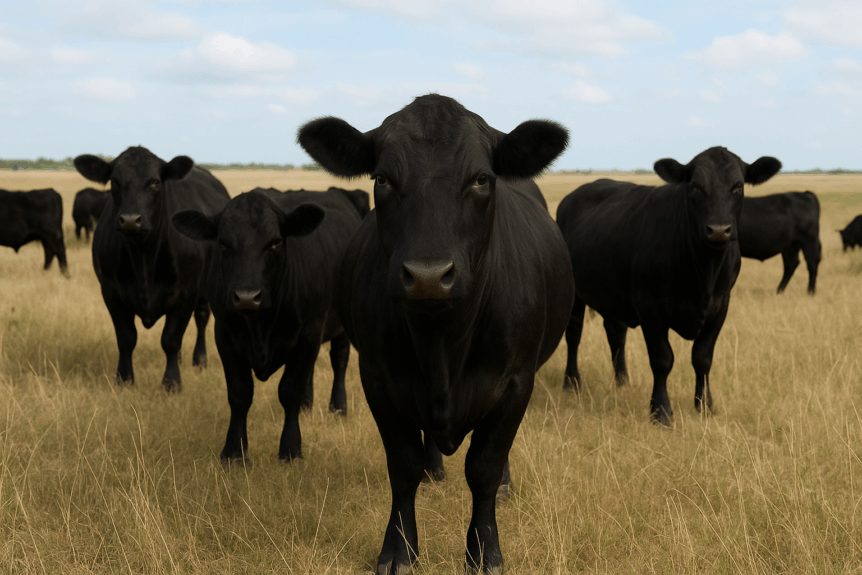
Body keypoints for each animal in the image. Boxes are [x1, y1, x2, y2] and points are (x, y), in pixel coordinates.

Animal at [74, 146, 230, 391]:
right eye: (115, 181)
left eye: (155, 182)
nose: (130, 220)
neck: (143, 257)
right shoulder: (111, 292)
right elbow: (126, 338)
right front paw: (124, 379)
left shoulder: (186, 293)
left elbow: (171, 339)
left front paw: (172, 383)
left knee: (202, 318)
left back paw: (199, 360)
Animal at [172, 187, 367, 461]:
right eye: (223, 243)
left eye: (275, 242)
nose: (247, 296)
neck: (260, 327)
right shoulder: (225, 336)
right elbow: (240, 393)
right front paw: (234, 452)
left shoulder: (309, 333)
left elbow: (290, 390)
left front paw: (290, 449)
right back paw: (308, 405)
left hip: (338, 328)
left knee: (339, 360)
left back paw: (338, 407)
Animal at [298, 94, 574, 574]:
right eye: (383, 178)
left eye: (481, 179)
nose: (428, 276)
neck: (443, 344)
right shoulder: (378, 377)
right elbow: (403, 466)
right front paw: (398, 550)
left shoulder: (516, 381)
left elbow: (484, 466)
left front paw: (484, 552)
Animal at [557, 147, 781, 425]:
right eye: (695, 186)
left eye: (737, 186)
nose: (719, 230)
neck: (703, 272)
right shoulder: (650, 308)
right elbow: (662, 359)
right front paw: (661, 411)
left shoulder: (720, 306)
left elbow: (702, 357)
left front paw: (704, 405)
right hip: (575, 294)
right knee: (574, 334)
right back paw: (571, 382)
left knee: (616, 332)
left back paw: (622, 381)